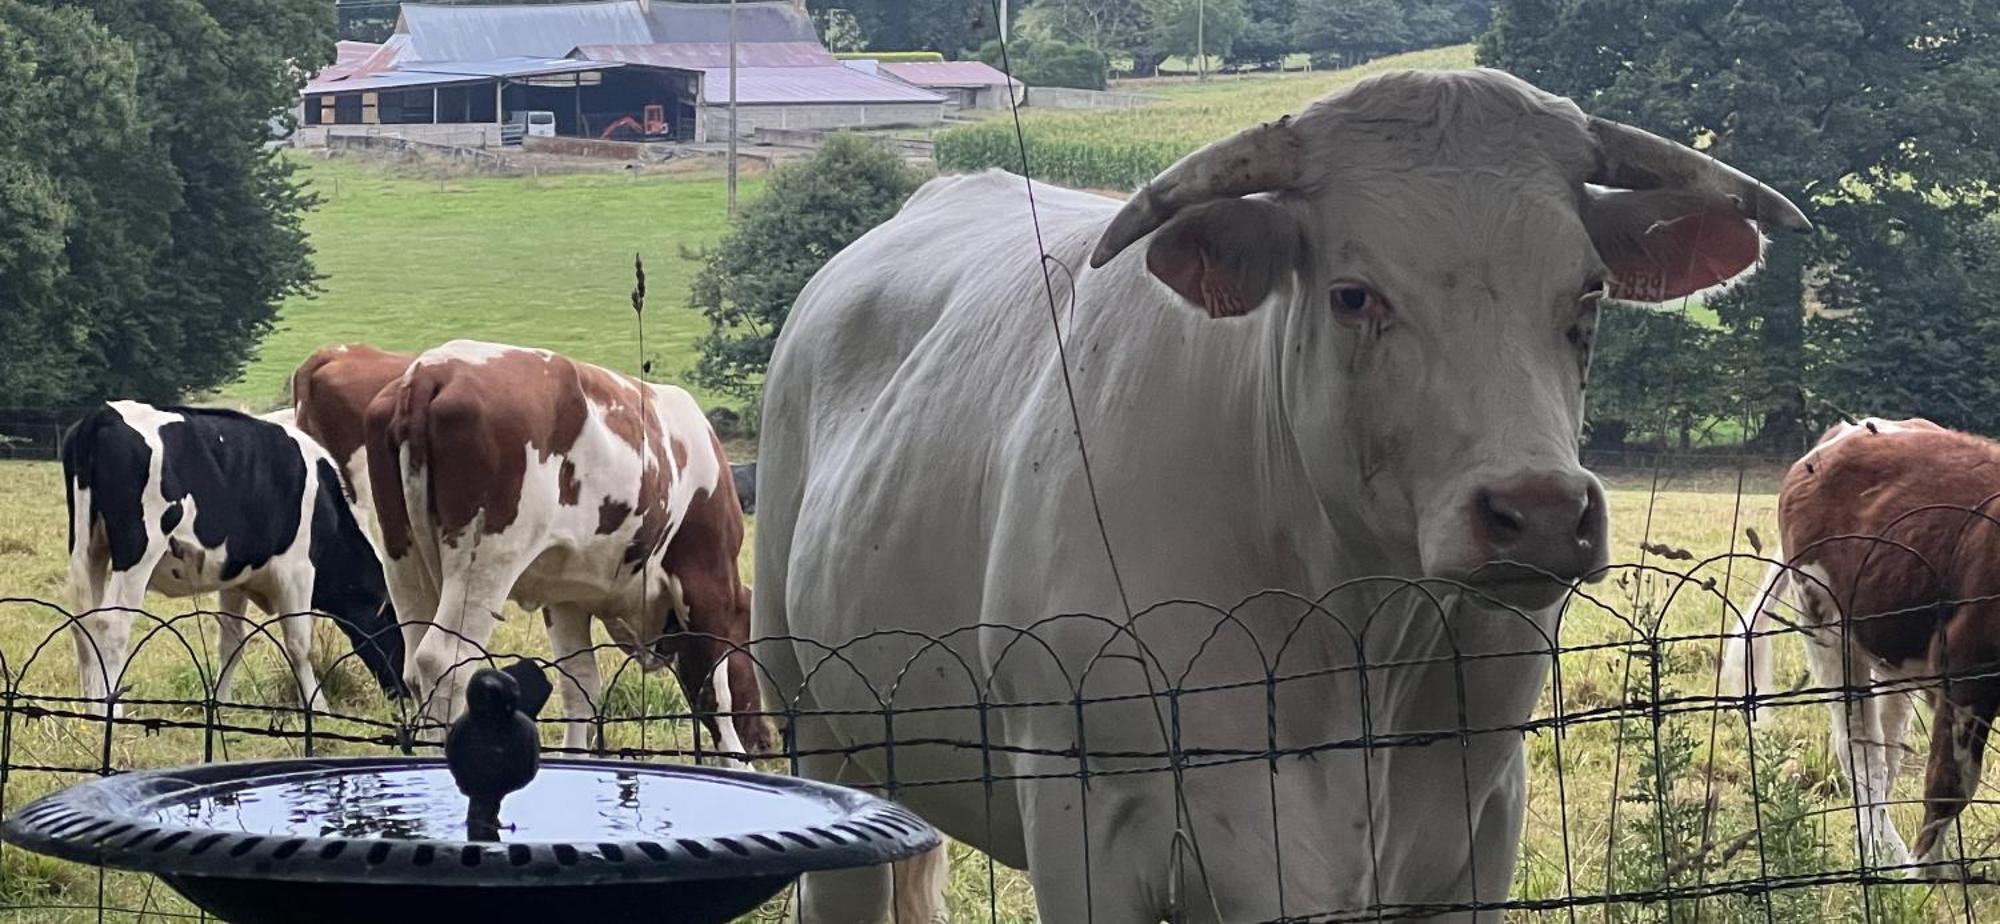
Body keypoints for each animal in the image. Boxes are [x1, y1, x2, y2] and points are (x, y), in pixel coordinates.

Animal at [60, 398, 402, 716]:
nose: (404, 693)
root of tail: (103, 414)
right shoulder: (298, 570)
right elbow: (299, 643)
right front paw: (318, 706)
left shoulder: (236, 577)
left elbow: (232, 641)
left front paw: (220, 703)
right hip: (138, 552)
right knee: (111, 624)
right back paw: (110, 709)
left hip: (88, 548)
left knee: (83, 622)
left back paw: (91, 707)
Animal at [360, 340, 764, 756]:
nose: (765, 740)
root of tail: (432, 369)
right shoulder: (707, 580)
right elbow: (714, 690)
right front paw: (738, 760)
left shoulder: (566, 598)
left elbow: (579, 685)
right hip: (485, 559)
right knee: (443, 662)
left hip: (403, 557)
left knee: (414, 667)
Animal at [760, 68, 1816, 920]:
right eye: (1354, 295)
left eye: (1589, 291)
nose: (1541, 511)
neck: (1355, 635)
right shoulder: (1087, 825)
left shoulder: (1477, 829)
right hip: (817, 733)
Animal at [1728, 418, 1992, 872]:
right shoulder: (1963, 668)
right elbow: (1947, 786)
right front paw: (1926, 877)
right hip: (1827, 630)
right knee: (1859, 748)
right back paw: (1882, 852)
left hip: (1895, 656)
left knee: (1887, 747)